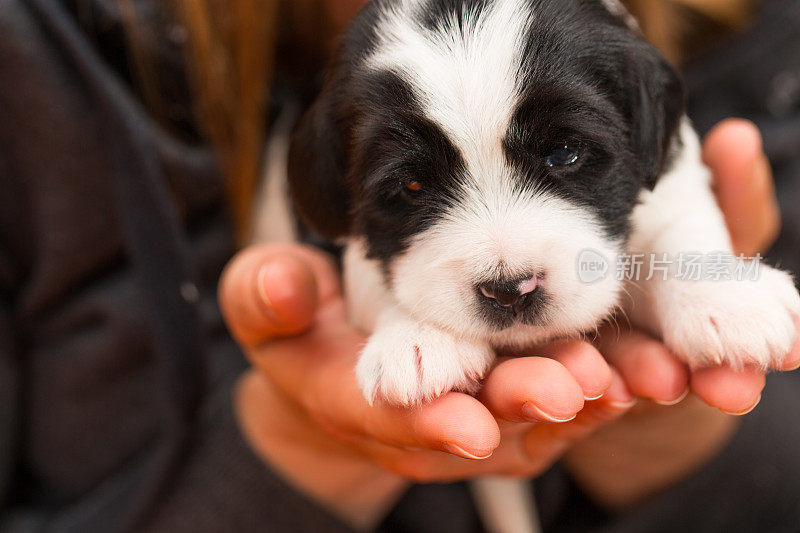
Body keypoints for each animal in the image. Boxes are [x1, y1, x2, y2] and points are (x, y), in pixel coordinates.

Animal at [288, 0, 800, 406]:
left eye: (564, 153)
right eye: (411, 187)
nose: (509, 291)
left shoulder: (672, 177)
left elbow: (679, 230)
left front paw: (726, 299)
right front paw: (416, 337)